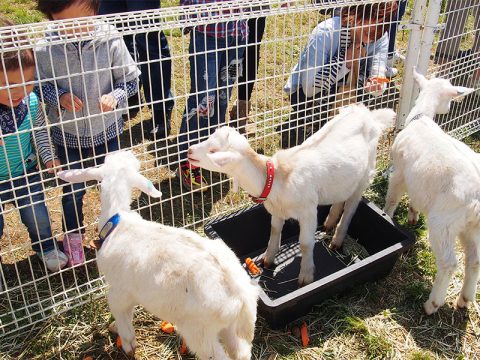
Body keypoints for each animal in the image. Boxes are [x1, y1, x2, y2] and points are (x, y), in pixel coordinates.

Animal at [57, 151, 258, 360]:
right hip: (235, 328)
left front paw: (128, 345)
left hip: (200, 331)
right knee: (241, 352)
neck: (118, 220)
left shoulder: (120, 292)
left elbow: (121, 316)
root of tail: (241, 294)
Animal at [187, 102, 394, 286]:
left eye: (213, 151)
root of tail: (367, 115)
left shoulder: (308, 211)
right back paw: (329, 223)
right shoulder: (277, 211)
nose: (189, 150)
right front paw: (267, 259)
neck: (276, 178)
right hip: (344, 179)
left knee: (351, 207)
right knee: (340, 198)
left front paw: (306, 276)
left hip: (365, 175)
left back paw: (336, 240)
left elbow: (305, 243)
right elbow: (274, 231)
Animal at [382, 68, 476, 316]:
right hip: (473, 227)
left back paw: (432, 304)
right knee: (474, 260)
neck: (421, 117)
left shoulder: (399, 172)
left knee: (450, 263)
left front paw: (386, 215)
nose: (450, 108)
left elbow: (392, 198)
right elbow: (414, 200)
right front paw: (413, 216)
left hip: (444, 222)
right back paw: (464, 299)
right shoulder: (418, 183)